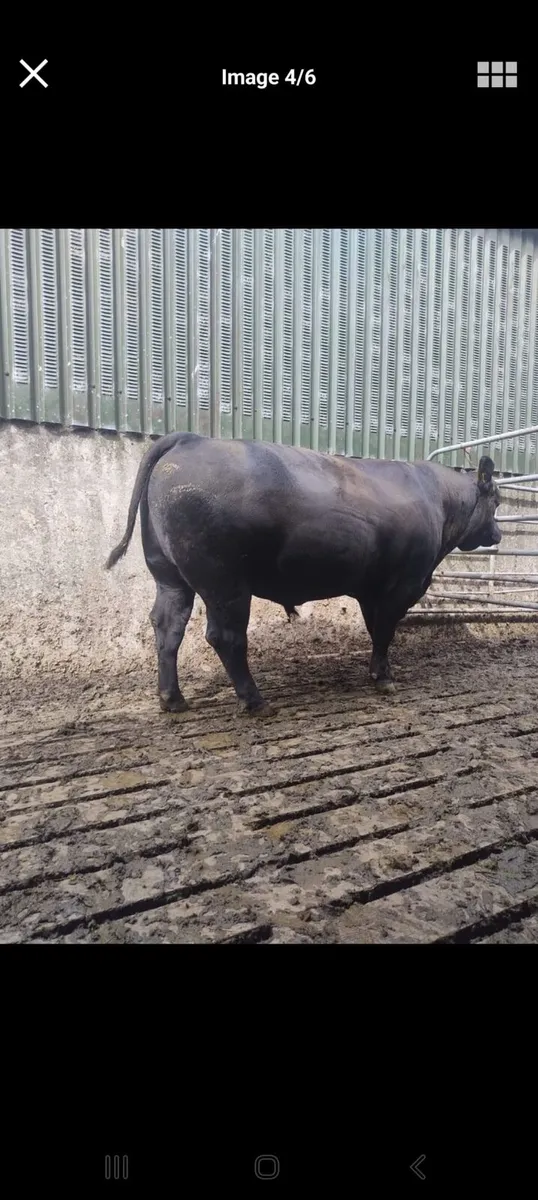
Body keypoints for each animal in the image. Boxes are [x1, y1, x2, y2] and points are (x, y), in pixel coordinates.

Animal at [105, 433, 501, 715]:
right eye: (496, 501)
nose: (498, 535)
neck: (439, 501)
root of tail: (191, 439)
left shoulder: (370, 588)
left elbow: (376, 629)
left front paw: (377, 672)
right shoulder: (402, 584)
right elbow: (386, 630)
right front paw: (385, 678)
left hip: (169, 576)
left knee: (168, 627)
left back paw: (172, 700)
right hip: (225, 583)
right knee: (225, 636)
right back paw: (255, 701)